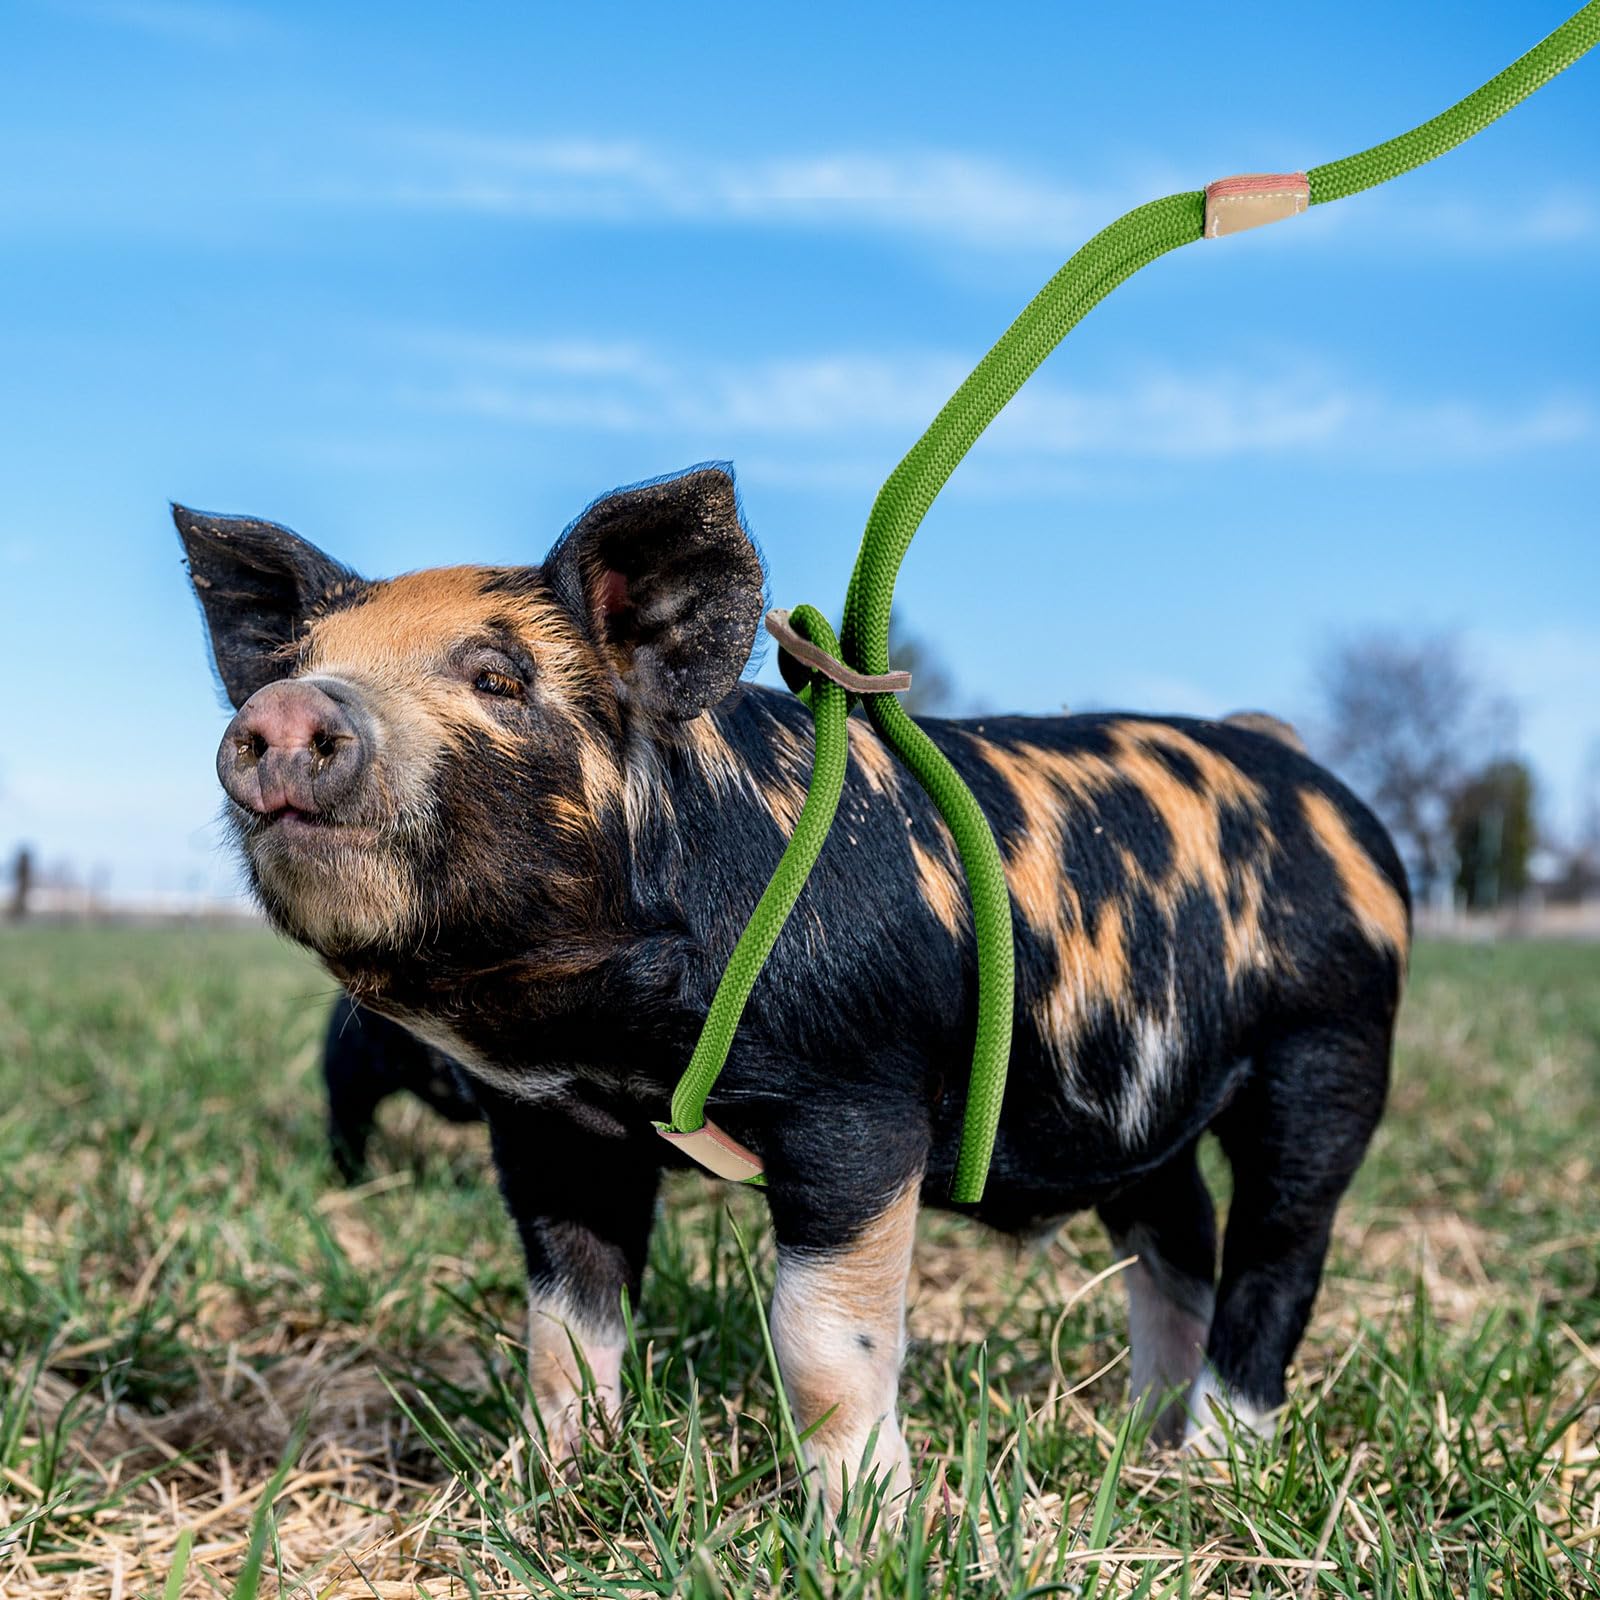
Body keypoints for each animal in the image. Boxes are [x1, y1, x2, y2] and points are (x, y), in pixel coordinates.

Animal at [175, 465, 1408, 1514]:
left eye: (497, 678)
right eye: (293, 661)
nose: (285, 711)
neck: (618, 1038)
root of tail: (1311, 777)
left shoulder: (858, 1101)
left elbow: (822, 1345)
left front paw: (865, 1534)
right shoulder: (549, 1124)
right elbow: (564, 1325)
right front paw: (555, 1489)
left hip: (1331, 1048)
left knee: (1277, 1257)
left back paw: (1213, 1464)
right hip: (1142, 1107)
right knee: (1177, 1239)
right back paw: (1141, 1443)